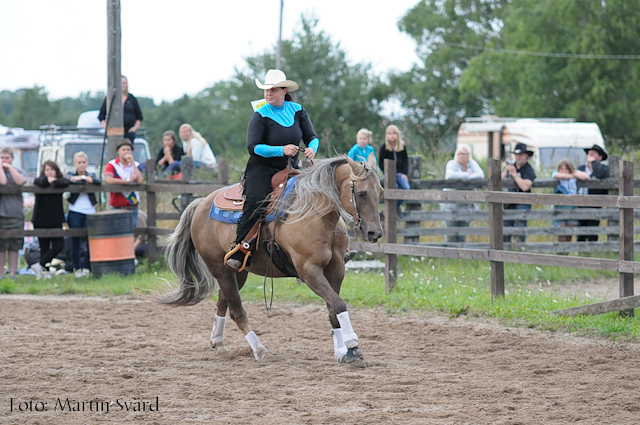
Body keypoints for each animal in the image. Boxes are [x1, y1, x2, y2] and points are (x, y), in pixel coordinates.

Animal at [157, 154, 382, 366]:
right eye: (361, 193)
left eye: (380, 192)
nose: (375, 233)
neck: (316, 215)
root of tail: (200, 202)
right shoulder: (309, 271)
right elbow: (338, 304)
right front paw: (353, 347)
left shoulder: (336, 270)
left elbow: (333, 308)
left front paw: (342, 351)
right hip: (219, 269)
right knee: (237, 311)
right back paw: (260, 350)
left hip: (238, 272)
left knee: (223, 301)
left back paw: (219, 342)